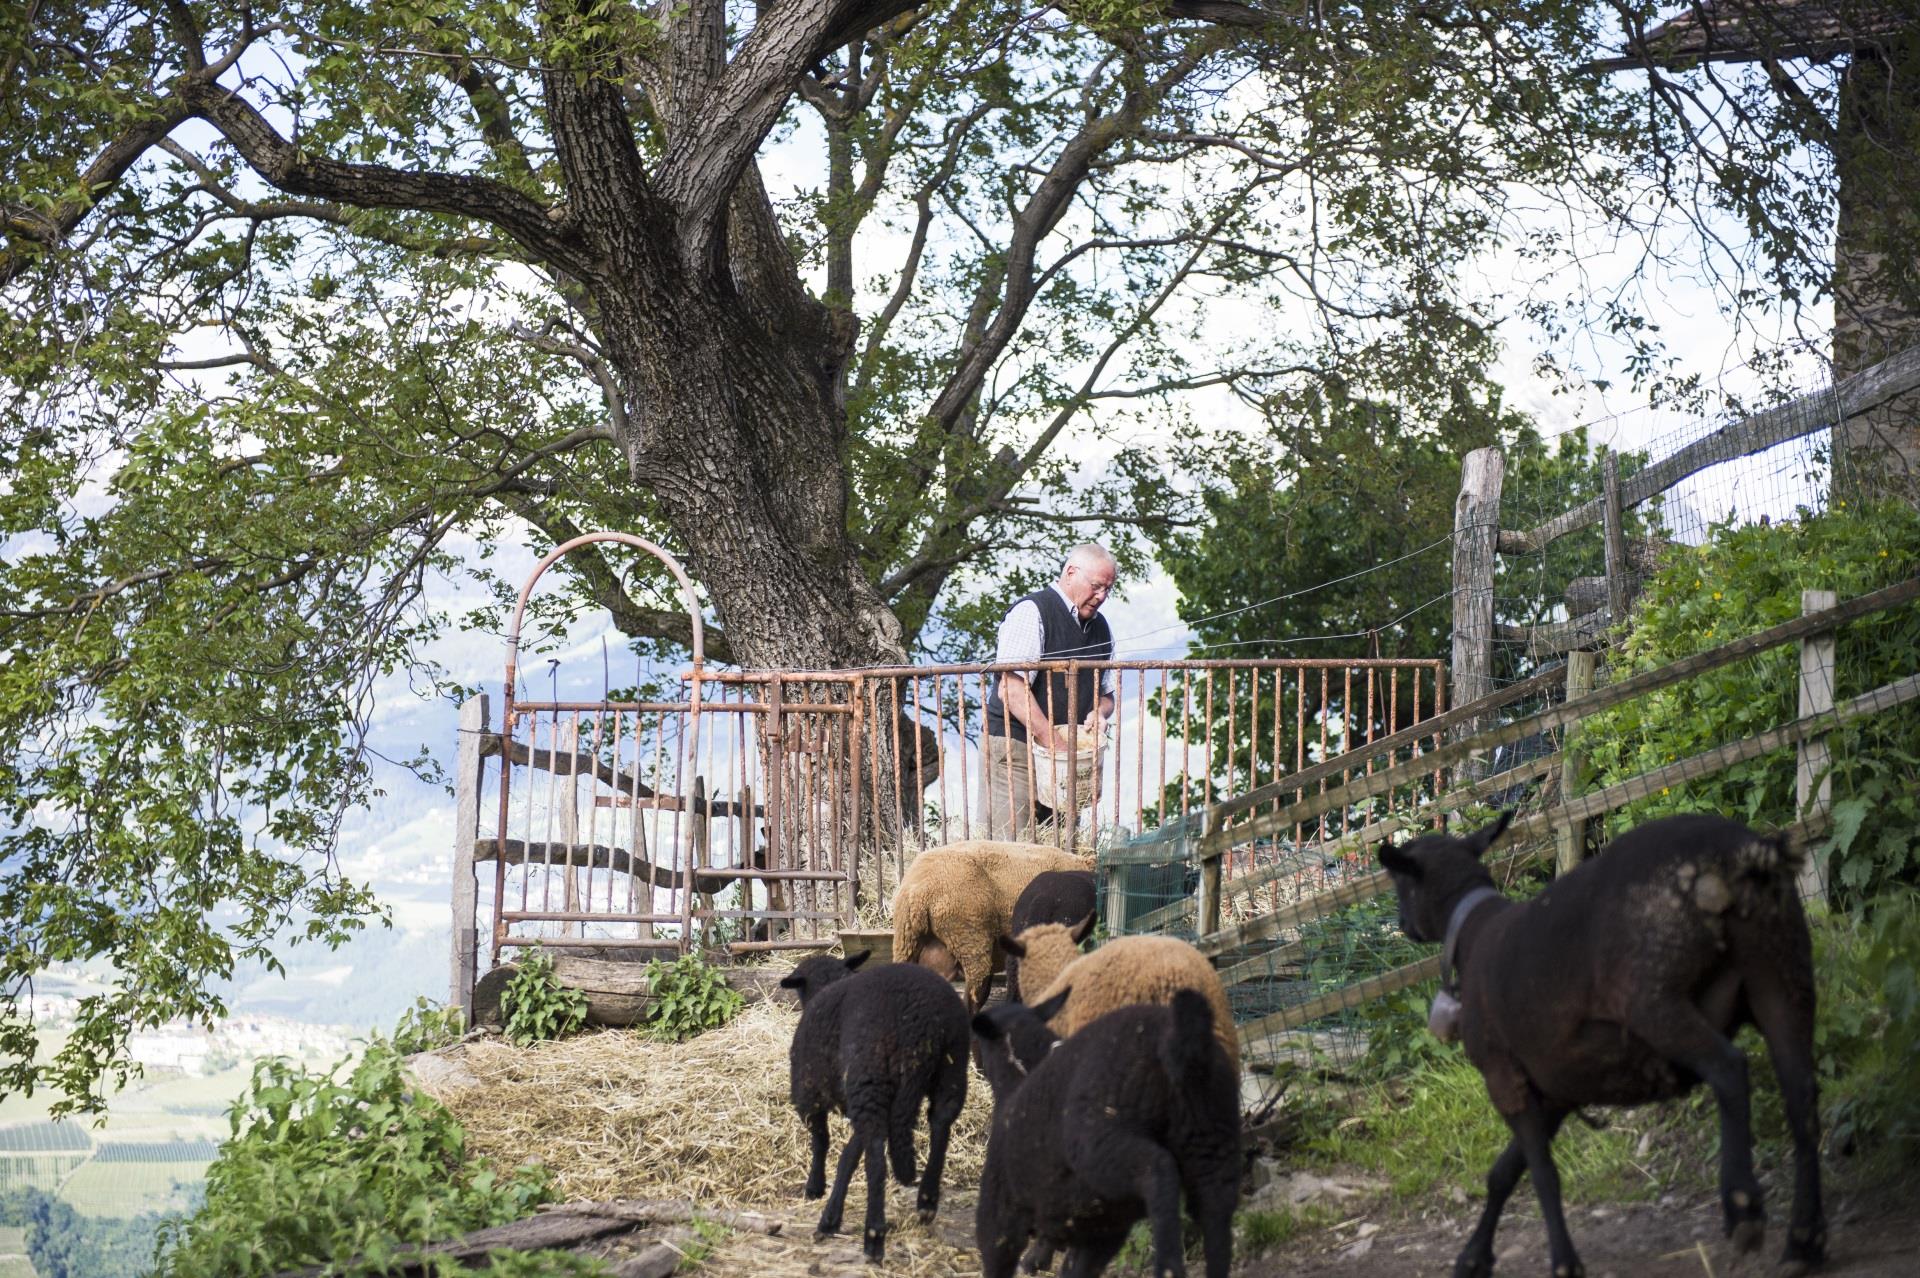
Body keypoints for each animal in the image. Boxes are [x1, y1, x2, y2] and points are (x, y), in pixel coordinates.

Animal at [771, 944, 967, 1251]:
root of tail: (922, 1025)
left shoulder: (808, 1094)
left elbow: (822, 1141)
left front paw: (815, 1187)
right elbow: (850, 1153)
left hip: (870, 1077)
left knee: (875, 1153)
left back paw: (869, 1233)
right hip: (952, 1069)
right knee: (940, 1125)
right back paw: (927, 1200)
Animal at [975, 982, 1244, 1274]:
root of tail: (1179, 1040)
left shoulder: (1000, 1216)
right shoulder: (1099, 1230)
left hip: (1102, 1144)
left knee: (1157, 1169)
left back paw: (1168, 1265)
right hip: (1211, 1142)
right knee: (1216, 1216)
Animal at [1374, 809, 1820, 1266]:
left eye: (1401, 884)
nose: (1401, 926)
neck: (1468, 931)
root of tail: (1740, 855)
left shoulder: (1503, 1079)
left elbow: (1542, 1175)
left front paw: (1563, 1262)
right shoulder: (1555, 1087)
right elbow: (1505, 1171)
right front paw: (1473, 1257)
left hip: (1654, 999)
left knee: (1729, 1068)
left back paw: (1742, 1204)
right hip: (1781, 972)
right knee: (1802, 1097)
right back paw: (1803, 1241)